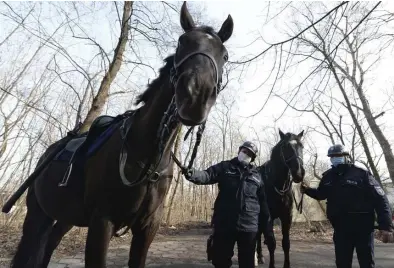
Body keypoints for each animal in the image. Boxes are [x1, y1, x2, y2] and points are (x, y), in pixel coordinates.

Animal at [7, 2, 234, 268]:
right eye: (181, 43)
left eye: (225, 55)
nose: (196, 96)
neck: (146, 158)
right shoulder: (102, 223)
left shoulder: (147, 228)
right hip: (37, 214)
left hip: (64, 218)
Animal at [255, 129, 304, 266]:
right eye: (286, 146)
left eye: (301, 146)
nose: (299, 173)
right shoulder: (268, 217)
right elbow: (272, 243)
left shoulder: (287, 216)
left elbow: (286, 243)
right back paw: (258, 257)